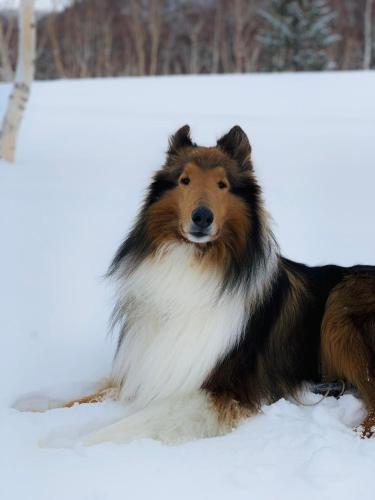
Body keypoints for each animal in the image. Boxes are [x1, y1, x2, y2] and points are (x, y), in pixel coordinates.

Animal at [19, 126, 375, 446]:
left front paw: (60, 443)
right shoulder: (145, 370)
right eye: (184, 180)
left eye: (222, 184)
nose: (201, 218)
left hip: (341, 307)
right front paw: (31, 410)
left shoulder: (217, 392)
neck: (193, 264)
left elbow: (121, 427)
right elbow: (89, 395)